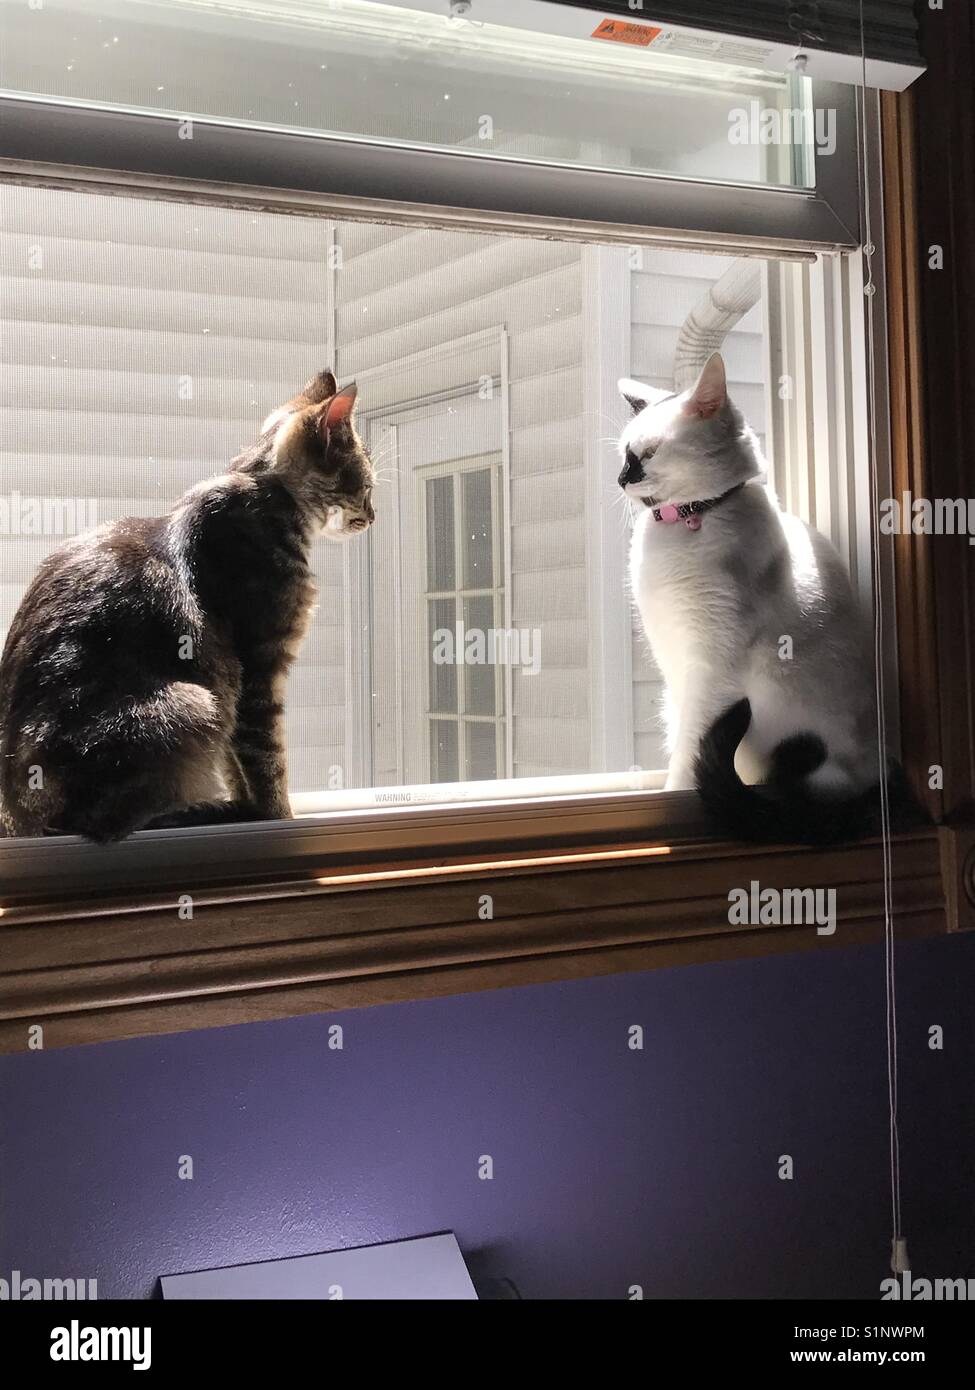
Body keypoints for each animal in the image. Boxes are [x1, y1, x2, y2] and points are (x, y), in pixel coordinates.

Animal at [614, 353, 890, 839]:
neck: (688, 524)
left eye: (647, 454)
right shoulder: (677, 670)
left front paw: (674, 794)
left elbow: (691, 747)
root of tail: (875, 782)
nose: (620, 479)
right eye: (625, 453)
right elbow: (682, 737)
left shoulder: (712, 671)